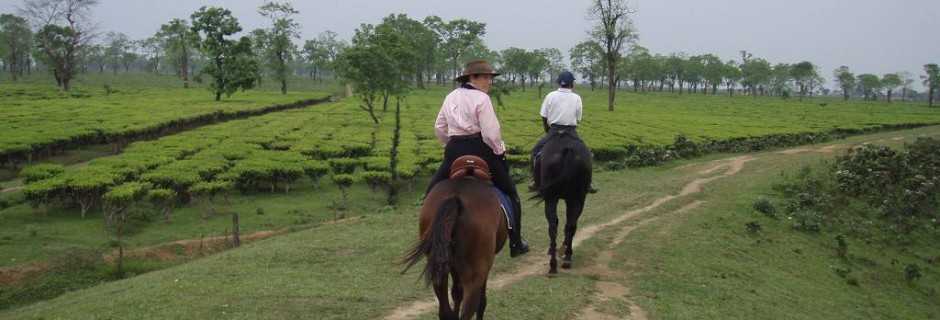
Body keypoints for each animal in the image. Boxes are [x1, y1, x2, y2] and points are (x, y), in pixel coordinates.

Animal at [402, 156, 506, 318]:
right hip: (476, 272)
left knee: (445, 309)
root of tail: (456, 197)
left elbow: (457, 293)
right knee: (470, 306)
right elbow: (480, 301)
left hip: (439, 267)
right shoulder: (484, 267)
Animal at [532, 129, 592, 274]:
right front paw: (564, 248)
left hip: (552, 197)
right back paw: (566, 258)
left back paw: (554, 262)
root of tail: (568, 150)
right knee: (570, 225)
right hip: (578, 197)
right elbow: (569, 224)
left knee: (554, 225)